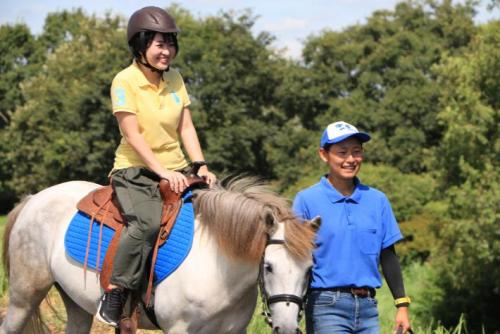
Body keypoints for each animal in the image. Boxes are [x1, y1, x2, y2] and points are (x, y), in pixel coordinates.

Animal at [0, 176, 320, 332]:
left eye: (309, 270)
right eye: (268, 266)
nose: (287, 327)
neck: (218, 267)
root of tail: (33, 199)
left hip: (77, 305)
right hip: (23, 298)